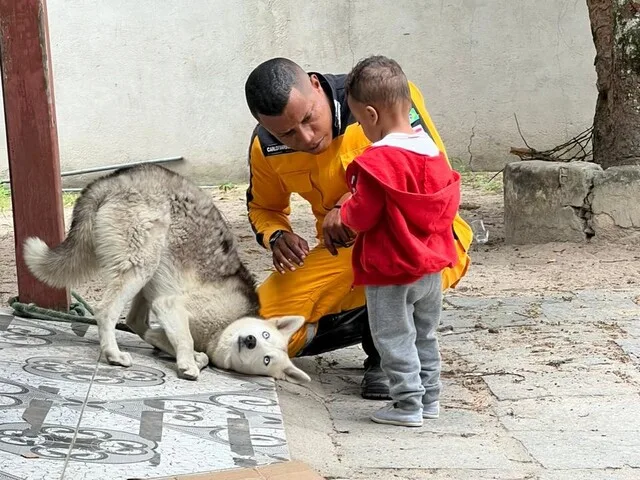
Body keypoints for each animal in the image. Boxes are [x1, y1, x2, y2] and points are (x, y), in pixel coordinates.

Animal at [24, 163, 312, 384]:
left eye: (267, 359)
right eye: (264, 336)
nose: (250, 340)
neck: (226, 326)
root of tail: (113, 179)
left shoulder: (152, 300)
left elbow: (145, 328)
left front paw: (188, 355)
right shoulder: (169, 304)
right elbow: (184, 339)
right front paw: (188, 362)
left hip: (144, 271)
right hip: (141, 265)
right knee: (105, 311)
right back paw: (113, 354)